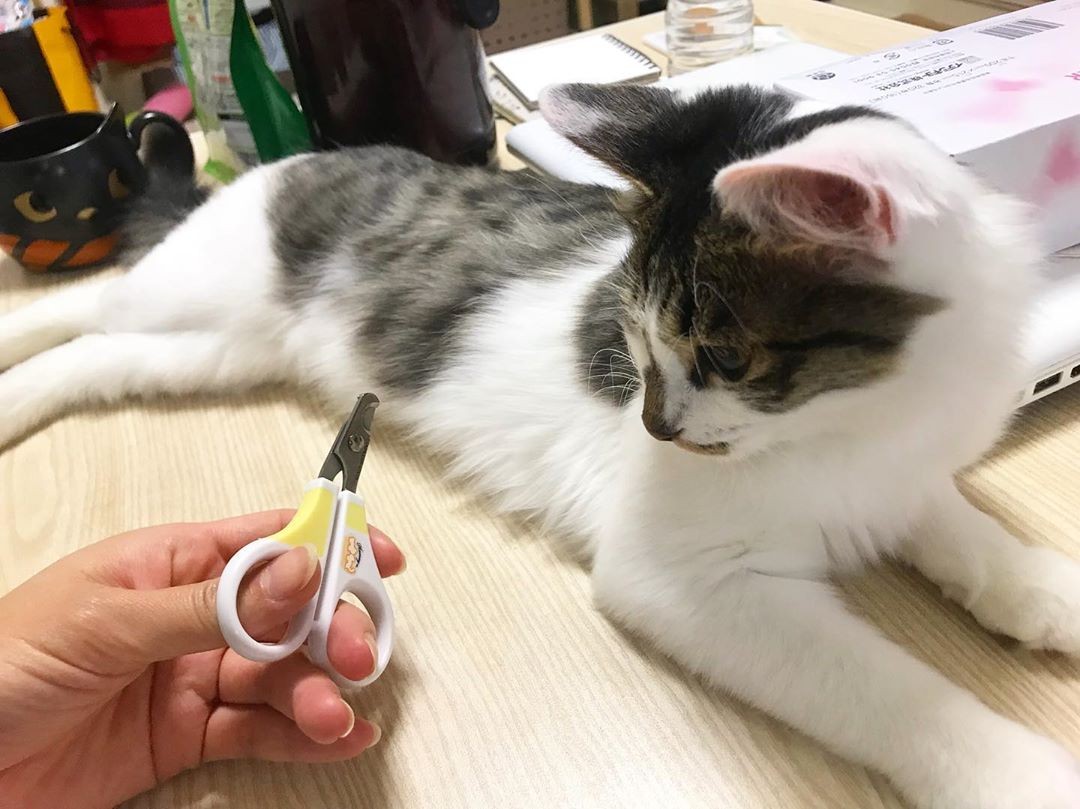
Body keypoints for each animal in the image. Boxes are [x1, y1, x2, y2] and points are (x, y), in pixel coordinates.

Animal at [1, 82, 1079, 808]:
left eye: (723, 358)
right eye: (639, 343)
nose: (655, 425)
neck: (856, 417)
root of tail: (301, 157)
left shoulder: (900, 473)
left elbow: (958, 527)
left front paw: (1038, 586)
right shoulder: (683, 579)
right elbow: (892, 691)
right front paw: (1016, 769)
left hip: (213, 350)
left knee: (100, 353)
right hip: (192, 294)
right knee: (88, 305)